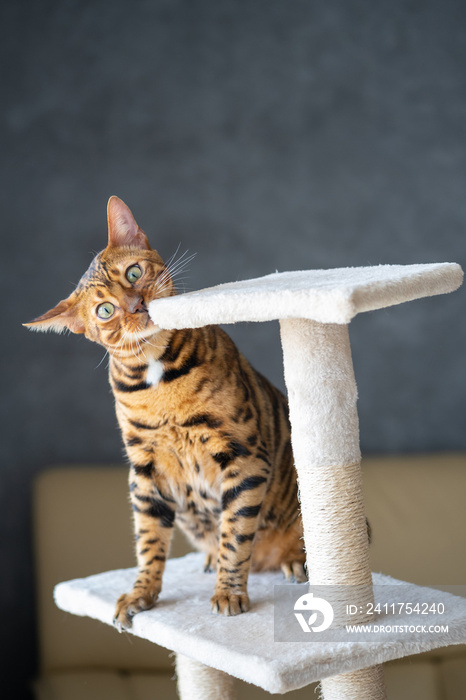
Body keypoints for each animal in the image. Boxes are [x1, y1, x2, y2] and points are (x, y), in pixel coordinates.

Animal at [27, 197, 308, 628]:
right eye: (105, 310)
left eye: (134, 272)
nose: (135, 304)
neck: (159, 379)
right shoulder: (144, 470)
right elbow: (149, 540)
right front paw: (141, 594)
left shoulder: (244, 455)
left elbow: (236, 534)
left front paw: (229, 592)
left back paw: (293, 562)